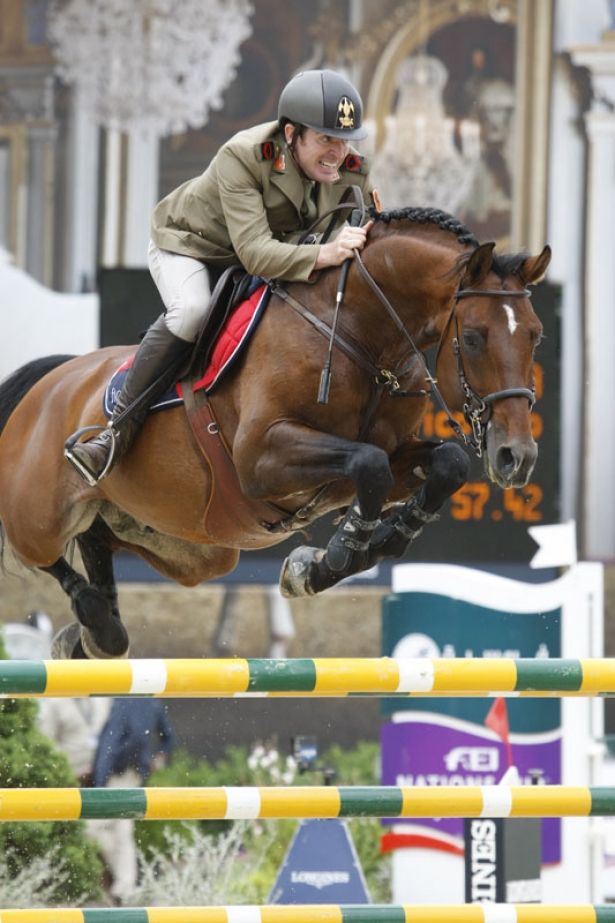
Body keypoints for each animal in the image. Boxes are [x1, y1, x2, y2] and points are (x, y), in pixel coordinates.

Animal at [0, 207, 548, 660]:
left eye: (536, 335)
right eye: (472, 338)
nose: (516, 457)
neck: (361, 336)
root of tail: (54, 376)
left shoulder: (389, 458)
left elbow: (446, 464)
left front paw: (345, 555)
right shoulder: (260, 459)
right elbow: (366, 463)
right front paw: (334, 556)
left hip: (192, 549)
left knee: (98, 538)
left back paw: (93, 634)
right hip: (38, 516)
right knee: (40, 549)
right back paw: (93, 612)